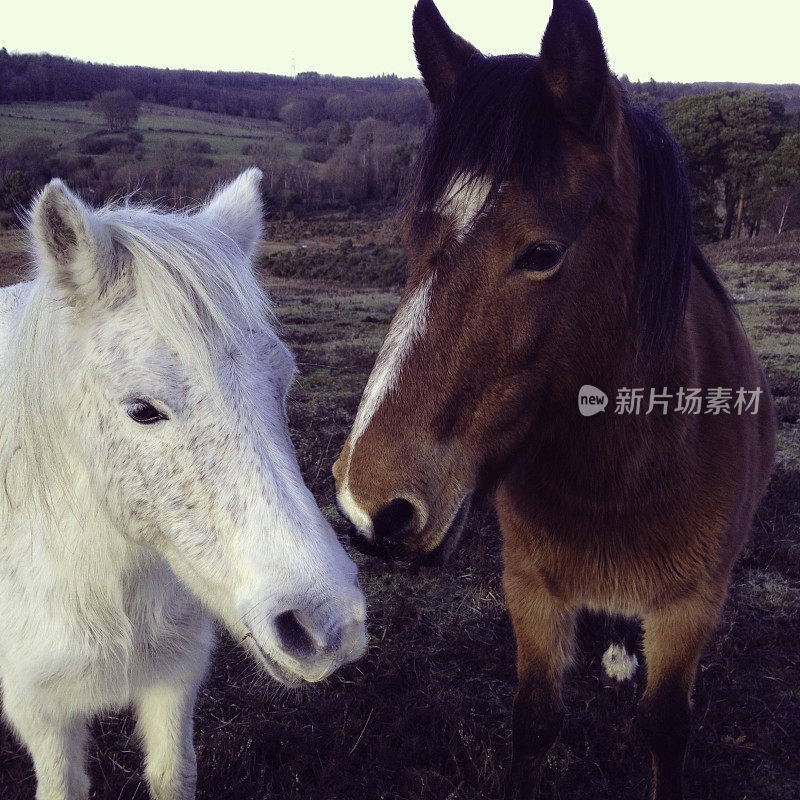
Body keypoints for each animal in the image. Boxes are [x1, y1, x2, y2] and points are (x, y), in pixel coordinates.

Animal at [0, 170, 368, 800]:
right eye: (142, 410)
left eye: (283, 382)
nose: (326, 626)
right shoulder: (41, 713)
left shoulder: (174, 680)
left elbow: (173, 774)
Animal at [332, 1, 776, 800]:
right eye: (410, 237)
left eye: (542, 253)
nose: (367, 506)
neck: (625, 479)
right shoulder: (531, 591)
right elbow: (535, 720)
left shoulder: (691, 606)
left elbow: (665, 727)